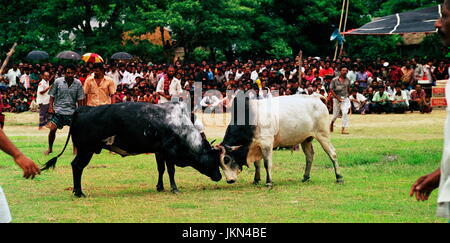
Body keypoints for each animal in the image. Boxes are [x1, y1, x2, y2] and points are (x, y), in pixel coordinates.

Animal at [41, 102, 221, 197]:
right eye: (213, 159)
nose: (219, 176)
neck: (180, 125)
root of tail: (82, 109)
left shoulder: (159, 152)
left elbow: (161, 169)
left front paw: (160, 187)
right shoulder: (170, 152)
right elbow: (171, 170)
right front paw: (174, 188)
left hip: (86, 150)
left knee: (75, 165)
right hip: (86, 150)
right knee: (77, 166)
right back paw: (79, 192)